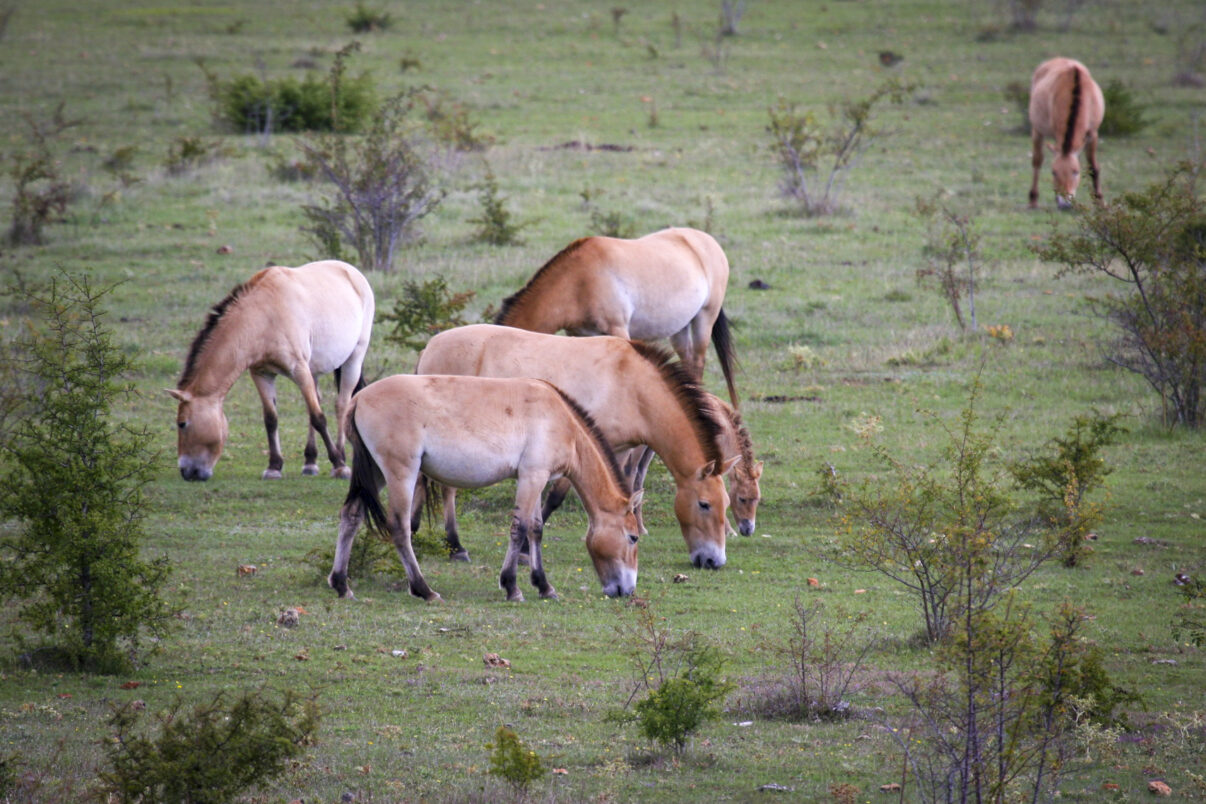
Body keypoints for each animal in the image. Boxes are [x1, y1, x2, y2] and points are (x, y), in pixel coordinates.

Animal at [168, 260, 373, 481]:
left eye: (182, 424)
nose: (187, 472)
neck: (265, 317)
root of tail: (351, 271)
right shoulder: (261, 373)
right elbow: (271, 419)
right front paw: (274, 467)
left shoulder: (299, 370)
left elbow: (319, 418)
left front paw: (339, 464)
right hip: (314, 369)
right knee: (316, 401)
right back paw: (310, 462)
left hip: (354, 358)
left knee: (341, 404)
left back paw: (341, 457)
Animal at [328, 374, 642, 602]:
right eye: (633, 537)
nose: (627, 591)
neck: (562, 420)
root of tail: (359, 398)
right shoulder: (532, 477)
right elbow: (520, 529)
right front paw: (512, 587)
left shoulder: (536, 479)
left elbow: (536, 529)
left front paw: (544, 586)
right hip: (400, 473)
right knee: (399, 527)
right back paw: (424, 589)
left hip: (376, 472)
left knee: (351, 516)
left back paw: (341, 584)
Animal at [414, 325, 738, 569]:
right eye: (704, 504)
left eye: (727, 503)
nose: (714, 561)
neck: (632, 386)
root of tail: (431, 346)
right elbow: (556, 498)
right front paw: (524, 552)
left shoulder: (618, 450)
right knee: (441, 487)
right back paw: (451, 544)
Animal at [494, 227, 740, 406]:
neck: (579, 281)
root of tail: (707, 241)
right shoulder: (579, 335)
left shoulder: (618, 330)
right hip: (679, 327)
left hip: (704, 318)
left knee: (697, 362)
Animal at [1028, 57, 1105, 210]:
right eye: (1054, 172)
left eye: (1076, 172)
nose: (1065, 203)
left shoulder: (1093, 134)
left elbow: (1093, 167)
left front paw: (1099, 201)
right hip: (1037, 130)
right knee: (1037, 161)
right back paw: (1033, 198)